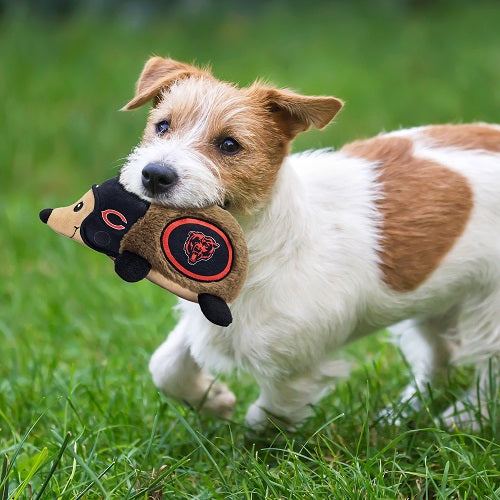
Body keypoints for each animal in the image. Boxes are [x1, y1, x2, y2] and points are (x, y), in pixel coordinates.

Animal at [118, 56, 500, 432]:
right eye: (162, 126)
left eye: (229, 145)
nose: (154, 175)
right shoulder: (206, 319)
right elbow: (165, 365)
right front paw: (213, 400)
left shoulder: (296, 366)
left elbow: (267, 416)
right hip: (436, 301)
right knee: (441, 357)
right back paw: (401, 415)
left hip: (489, 310)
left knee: (488, 372)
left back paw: (464, 419)